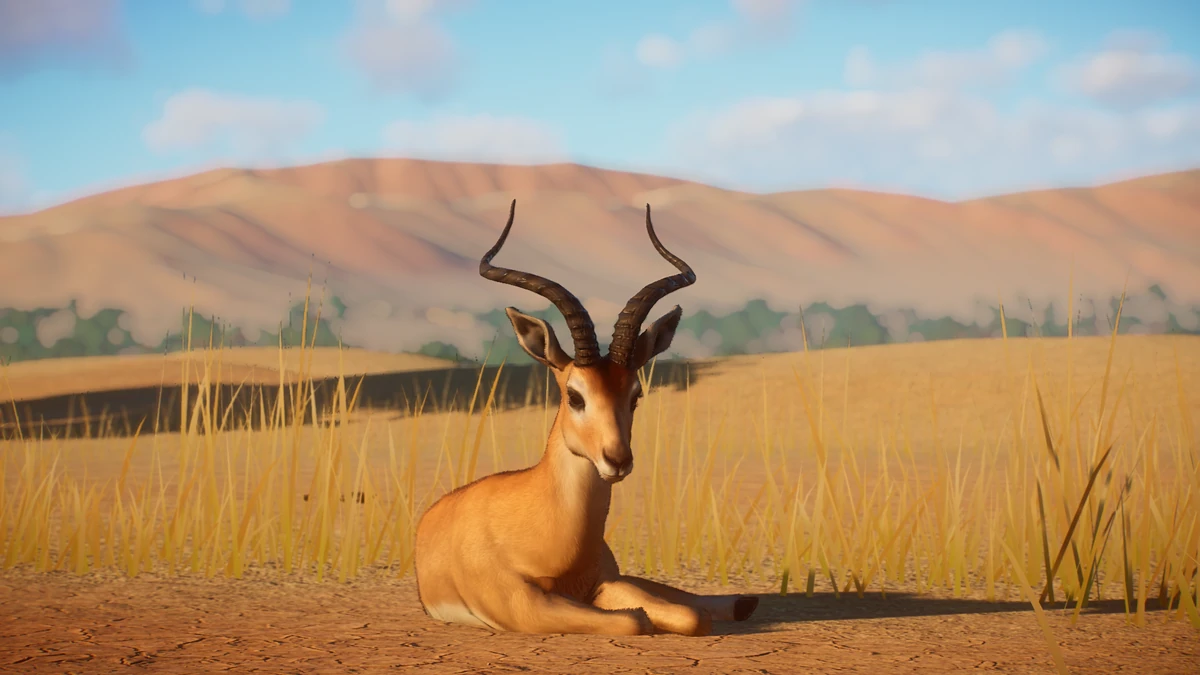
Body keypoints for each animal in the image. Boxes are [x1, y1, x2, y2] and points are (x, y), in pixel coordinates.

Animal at [413, 200, 759, 636]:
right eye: (574, 395)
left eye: (636, 395)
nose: (617, 459)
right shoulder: (524, 606)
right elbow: (634, 621)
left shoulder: (605, 582)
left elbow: (688, 616)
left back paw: (743, 601)